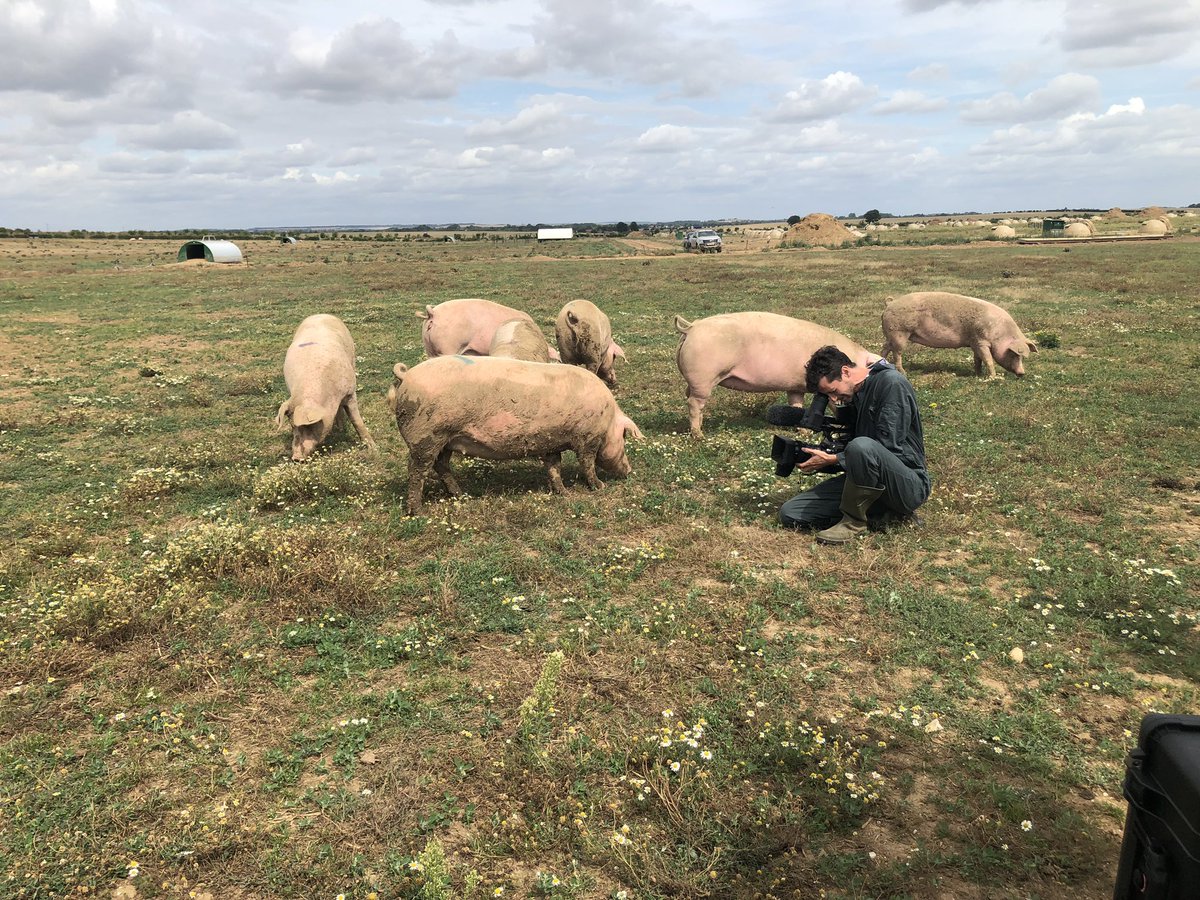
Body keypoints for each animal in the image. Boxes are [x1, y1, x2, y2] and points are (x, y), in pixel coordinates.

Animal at [274, 314, 374, 460]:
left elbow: (357, 421)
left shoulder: (350, 393)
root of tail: (319, 314)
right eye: (292, 426)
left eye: (308, 426)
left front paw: (374, 449)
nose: (296, 458)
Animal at [388, 355, 643, 518]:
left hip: (446, 441)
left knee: (440, 466)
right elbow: (587, 463)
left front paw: (563, 492)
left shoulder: (551, 442)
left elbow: (554, 467)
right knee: (417, 470)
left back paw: (461, 495)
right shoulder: (587, 437)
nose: (630, 470)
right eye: (624, 437)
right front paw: (598, 486)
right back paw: (418, 512)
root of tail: (407, 375)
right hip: (426, 436)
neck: (607, 418)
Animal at [676, 314, 873, 441]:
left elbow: (797, 405)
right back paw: (699, 436)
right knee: (693, 403)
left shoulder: (795, 387)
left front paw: (804, 433)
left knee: (691, 398)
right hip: (703, 377)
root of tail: (691, 328)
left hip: (696, 381)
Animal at [883, 294, 1041, 379]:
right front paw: (992, 377)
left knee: (885, 347)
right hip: (899, 333)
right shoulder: (981, 341)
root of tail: (890, 303)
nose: (1022, 373)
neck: (1000, 333)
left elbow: (978, 359)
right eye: (1014, 355)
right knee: (897, 353)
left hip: (891, 335)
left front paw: (978, 374)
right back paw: (903, 372)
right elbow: (988, 359)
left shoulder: (975, 342)